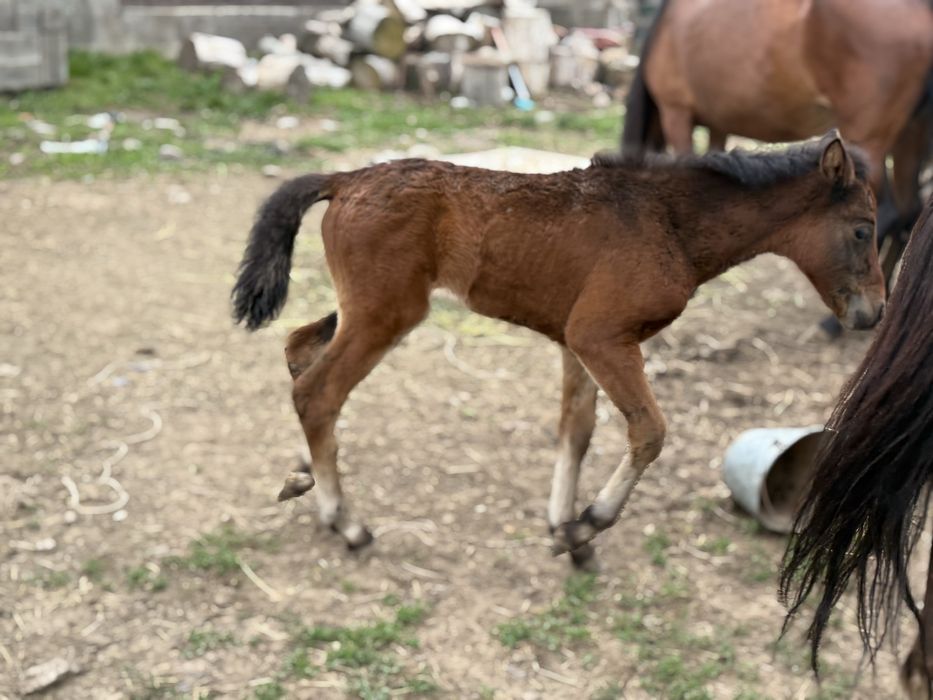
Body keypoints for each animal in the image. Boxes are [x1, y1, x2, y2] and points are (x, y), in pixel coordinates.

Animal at [233, 131, 884, 567]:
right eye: (863, 229)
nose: (872, 313)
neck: (667, 221)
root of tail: (345, 180)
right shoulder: (601, 335)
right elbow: (649, 431)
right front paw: (584, 527)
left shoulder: (579, 340)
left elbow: (577, 428)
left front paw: (563, 529)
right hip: (387, 312)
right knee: (318, 392)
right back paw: (346, 523)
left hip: (368, 307)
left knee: (298, 350)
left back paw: (304, 481)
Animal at [622, 0, 933, 302]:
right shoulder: (718, 125)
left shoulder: (676, 112)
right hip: (911, 136)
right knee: (907, 212)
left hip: (868, 142)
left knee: (888, 212)